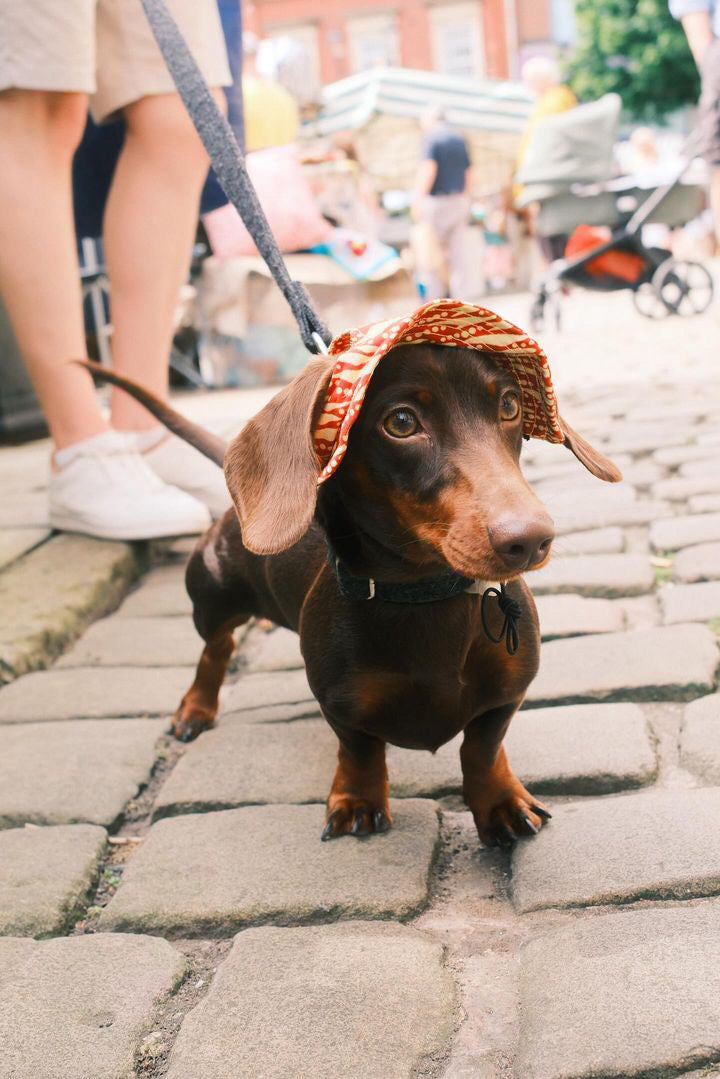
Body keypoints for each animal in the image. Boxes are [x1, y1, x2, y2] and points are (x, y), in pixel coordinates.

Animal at [83, 347, 621, 850]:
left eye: (509, 405)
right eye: (401, 422)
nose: (531, 540)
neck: (424, 594)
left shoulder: (507, 695)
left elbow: (482, 750)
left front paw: (501, 805)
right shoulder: (340, 703)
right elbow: (360, 751)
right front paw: (358, 802)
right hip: (210, 598)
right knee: (216, 649)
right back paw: (195, 710)